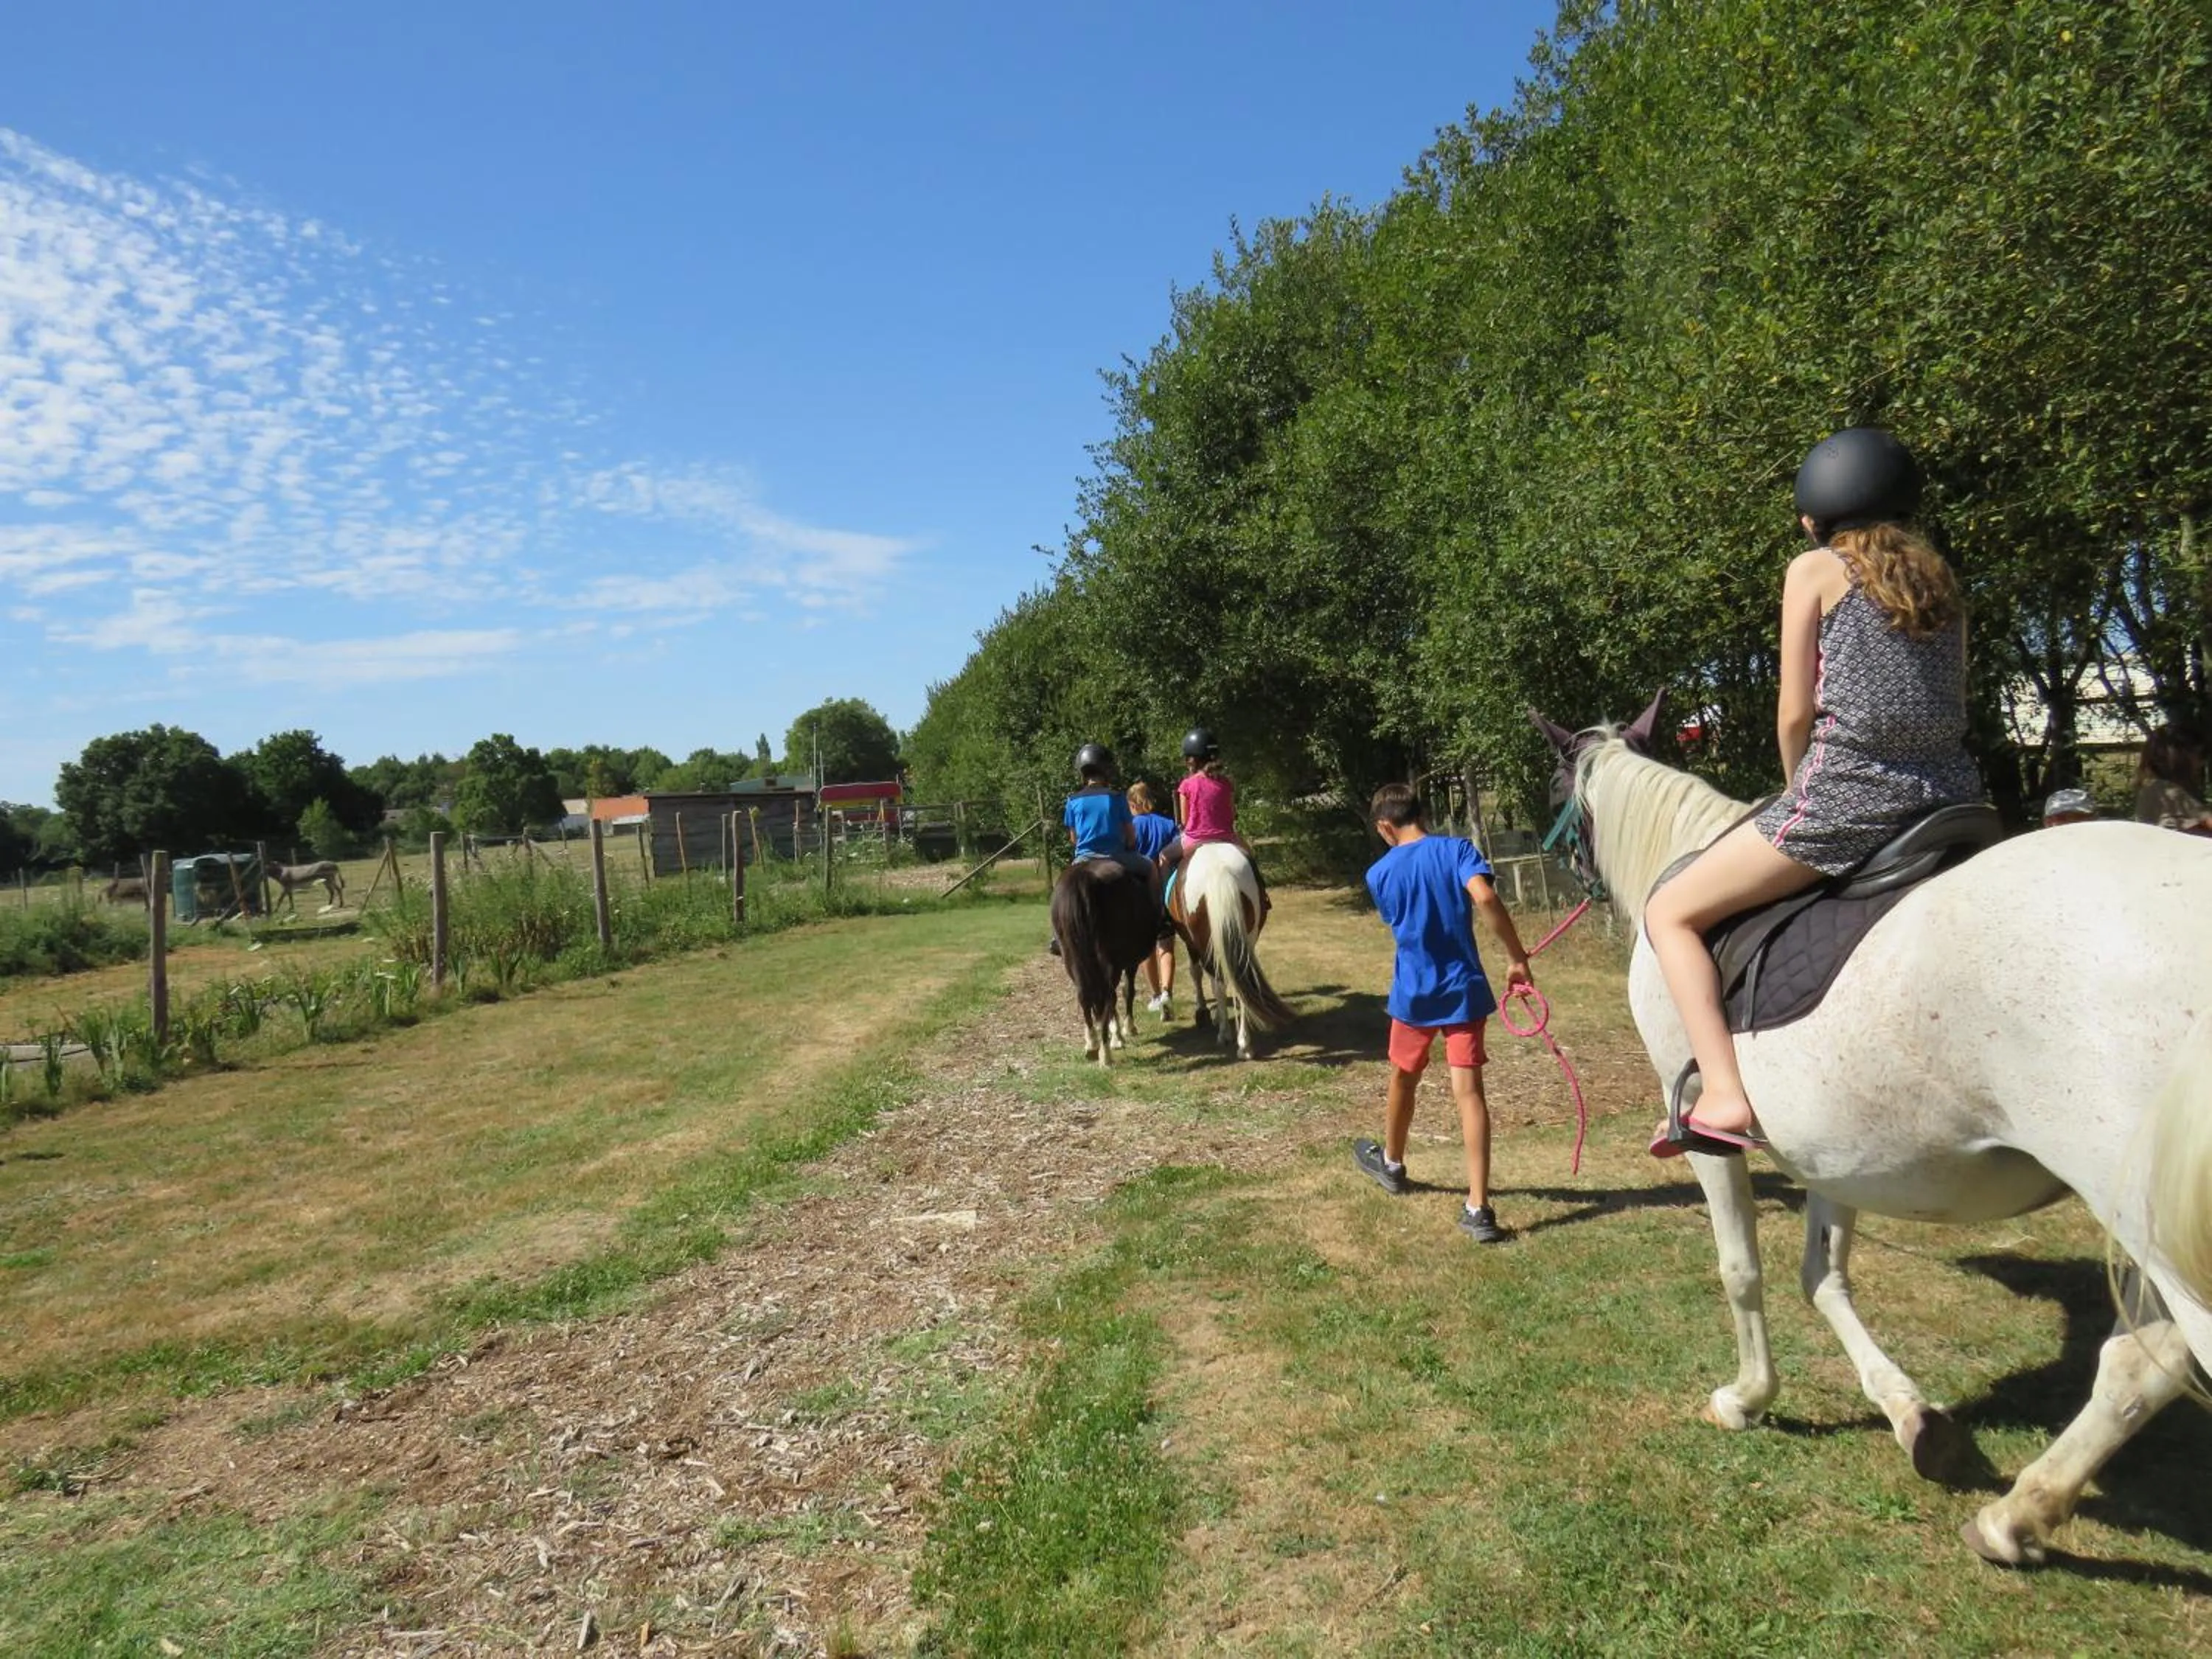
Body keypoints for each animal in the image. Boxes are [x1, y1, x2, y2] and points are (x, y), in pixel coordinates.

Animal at [1049, 856, 1160, 1066]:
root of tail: (1083, 877)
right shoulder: (1130, 963)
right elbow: (1127, 992)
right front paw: (1125, 1031)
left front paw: (1115, 1034)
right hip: (1110, 961)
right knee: (1109, 995)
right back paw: (1106, 1053)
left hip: (1072, 957)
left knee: (1085, 995)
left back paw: (1092, 1044)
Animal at [1166, 841, 1293, 1060]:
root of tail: (1219, 869)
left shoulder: (1192, 944)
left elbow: (1197, 973)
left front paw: (1203, 1012)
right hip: (1247, 936)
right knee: (1240, 980)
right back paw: (1245, 1045)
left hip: (1203, 941)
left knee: (1218, 981)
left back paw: (1226, 1035)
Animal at [1537, 702, 2212, 1565]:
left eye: (1559, 786)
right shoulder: (1835, 1153)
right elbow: (1822, 1278)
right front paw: (1912, 1417)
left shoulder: (1703, 1132)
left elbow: (1741, 1270)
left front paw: (1748, 1398)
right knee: (2141, 1361)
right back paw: (2016, 1516)